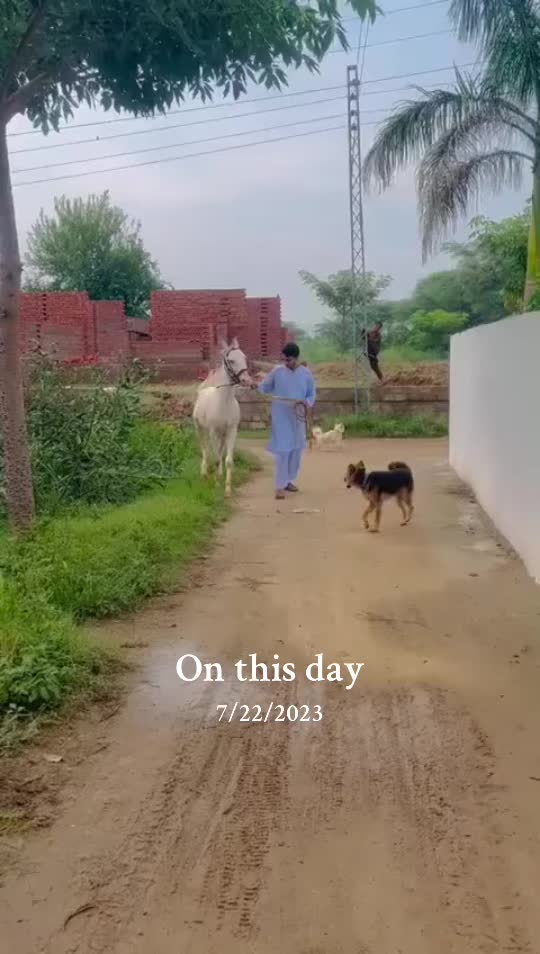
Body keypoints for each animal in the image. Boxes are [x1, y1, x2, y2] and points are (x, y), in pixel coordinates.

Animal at [192, 338, 252, 497]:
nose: (247, 381)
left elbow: (228, 460)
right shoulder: (213, 431)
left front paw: (227, 489)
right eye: (231, 360)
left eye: (244, 358)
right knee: (205, 450)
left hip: (222, 435)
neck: (223, 402)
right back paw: (204, 474)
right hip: (201, 430)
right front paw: (217, 484)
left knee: (219, 451)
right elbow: (217, 459)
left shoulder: (231, 431)